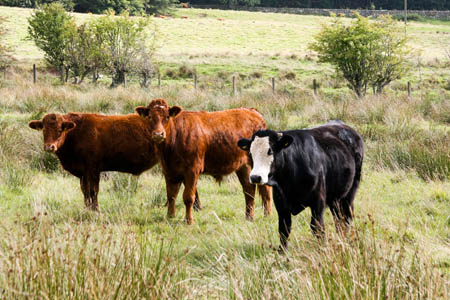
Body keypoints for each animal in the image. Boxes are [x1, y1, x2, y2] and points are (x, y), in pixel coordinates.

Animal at [29, 112, 200, 211]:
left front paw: (95, 210)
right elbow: (85, 191)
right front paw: (87, 208)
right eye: (44, 129)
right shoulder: (83, 173)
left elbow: (93, 190)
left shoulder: (93, 169)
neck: (76, 132)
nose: (49, 146)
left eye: (60, 129)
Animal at [135, 99, 272, 225]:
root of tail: (253, 111)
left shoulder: (192, 170)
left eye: (167, 117)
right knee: (249, 189)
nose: (158, 134)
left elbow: (188, 197)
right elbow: (171, 195)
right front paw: (170, 217)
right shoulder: (169, 171)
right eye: (149, 117)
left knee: (266, 189)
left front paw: (188, 221)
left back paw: (267, 216)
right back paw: (249, 217)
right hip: (243, 166)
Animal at [237, 120, 364, 250]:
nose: (255, 177)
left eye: (270, 151)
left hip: (349, 193)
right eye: (250, 152)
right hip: (335, 198)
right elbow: (284, 229)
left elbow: (317, 227)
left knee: (346, 217)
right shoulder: (281, 204)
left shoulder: (318, 202)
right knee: (338, 218)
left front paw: (323, 249)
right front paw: (282, 252)